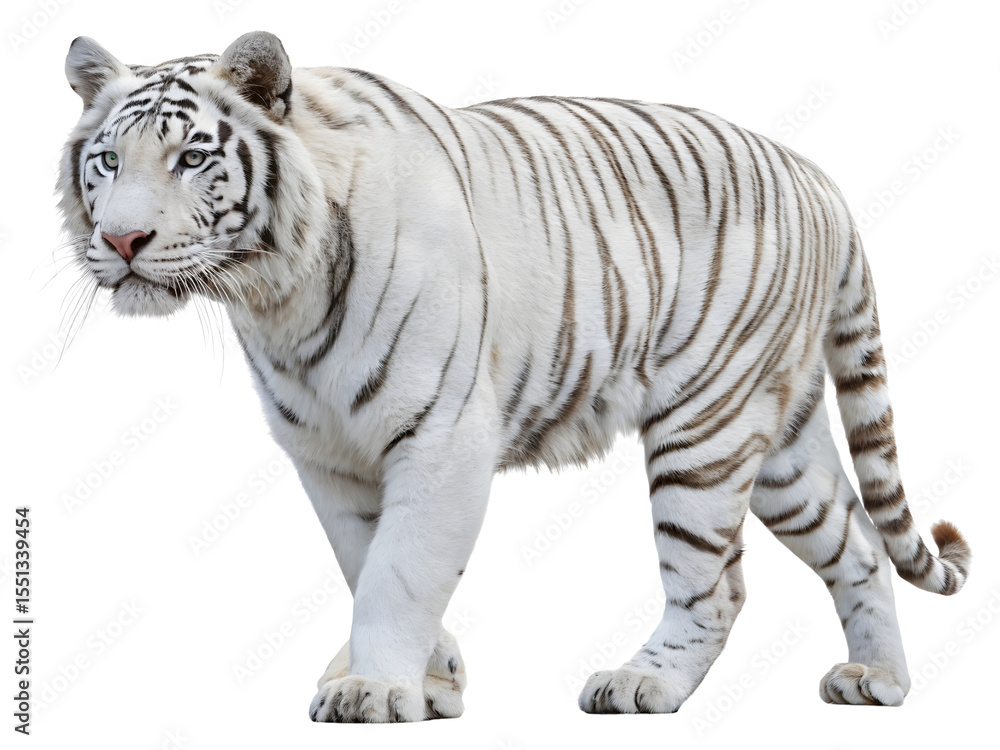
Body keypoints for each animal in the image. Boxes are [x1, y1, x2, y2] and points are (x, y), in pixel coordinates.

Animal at [58, 31, 971, 722]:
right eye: (107, 161)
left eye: (191, 157)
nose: (123, 240)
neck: (275, 297)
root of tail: (821, 180)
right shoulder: (328, 455)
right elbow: (365, 560)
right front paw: (431, 679)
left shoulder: (440, 435)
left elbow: (399, 571)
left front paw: (373, 690)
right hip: (779, 438)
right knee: (858, 545)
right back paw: (879, 682)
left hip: (705, 429)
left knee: (716, 586)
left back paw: (643, 683)